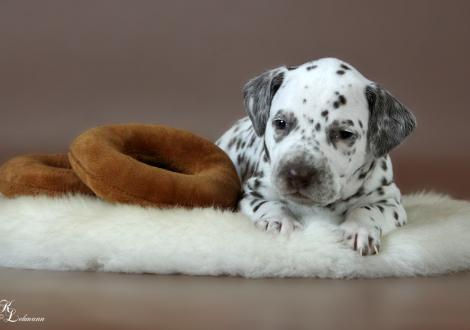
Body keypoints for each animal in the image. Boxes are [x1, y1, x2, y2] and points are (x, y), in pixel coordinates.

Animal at [215, 58, 416, 256]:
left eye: (345, 133)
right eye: (281, 123)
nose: (297, 174)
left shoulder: (390, 201)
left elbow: (367, 209)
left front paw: (359, 229)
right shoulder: (253, 193)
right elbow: (270, 204)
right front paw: (280, 221)